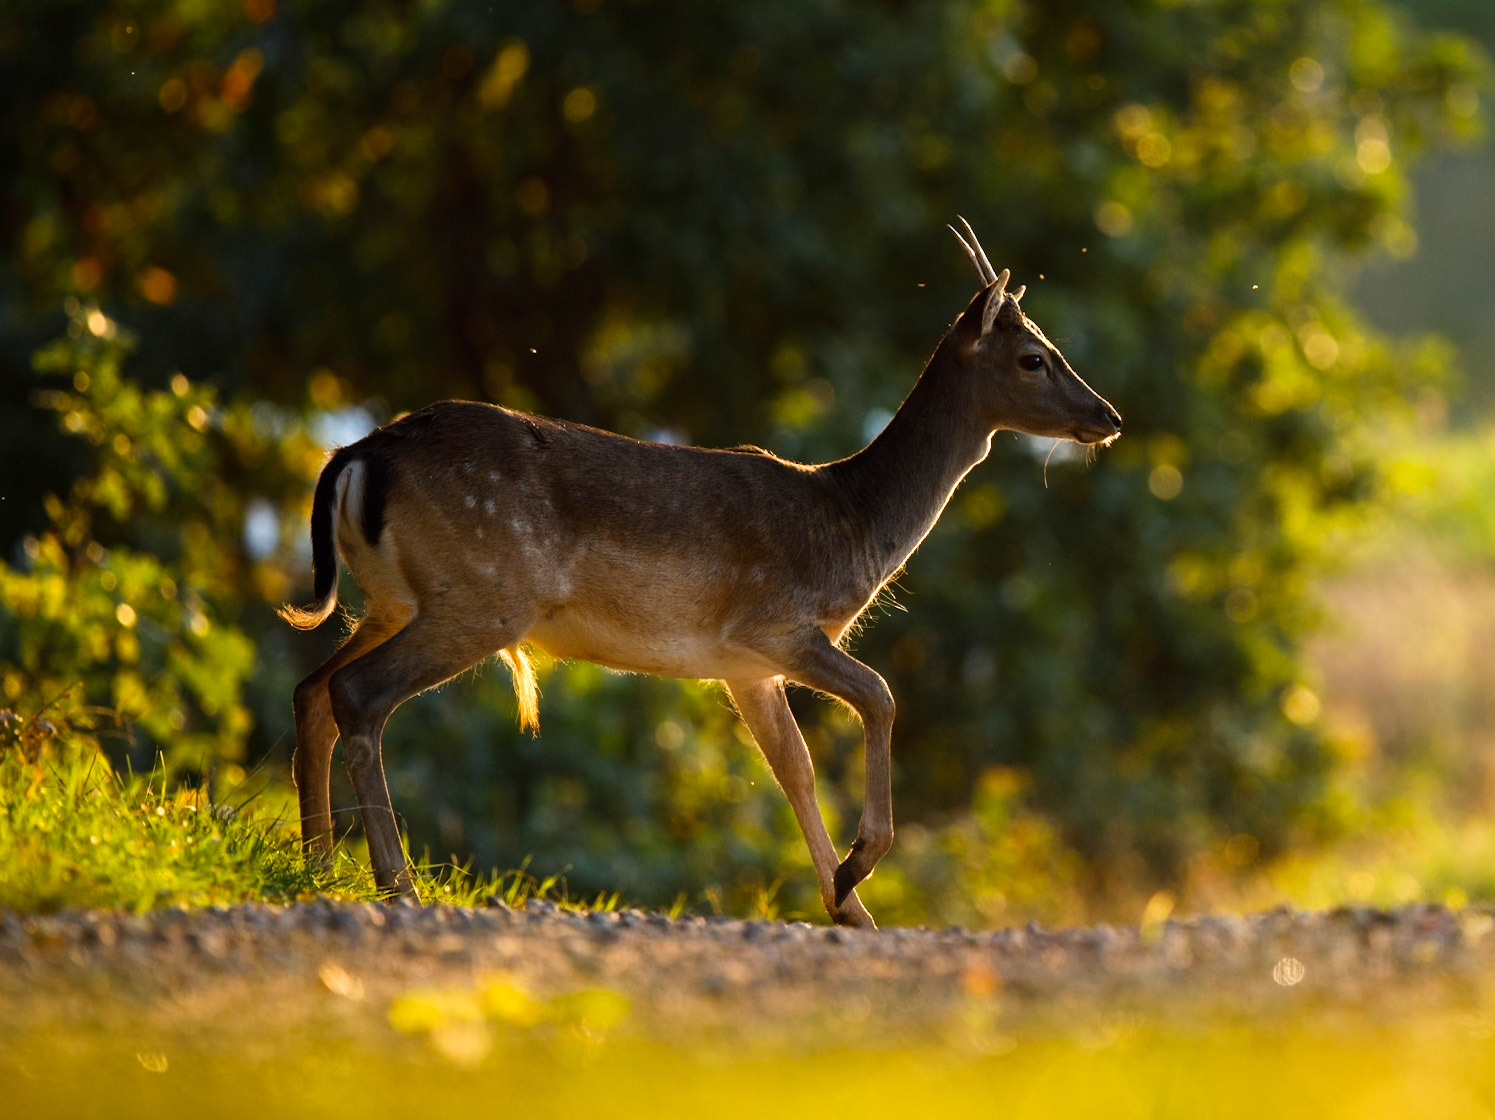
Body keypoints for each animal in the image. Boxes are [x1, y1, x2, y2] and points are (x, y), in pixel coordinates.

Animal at [280, 220, 1121, 929]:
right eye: (1033, 356)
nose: (1107, 416)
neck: (853, 520)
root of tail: (355, 457)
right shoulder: (773, 624)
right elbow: (880, 697)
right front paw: (855, 871)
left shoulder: (744, 668)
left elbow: (794, 769)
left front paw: (847, 906)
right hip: (483, 595)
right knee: (357, 693)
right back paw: (395, 883)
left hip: (392, 599)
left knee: (313, 688)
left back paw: (315, 868)